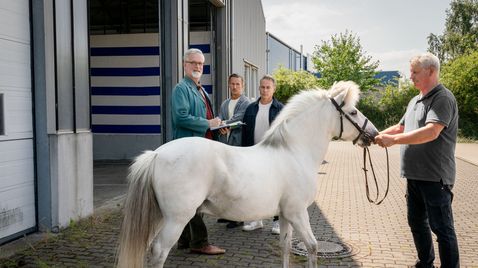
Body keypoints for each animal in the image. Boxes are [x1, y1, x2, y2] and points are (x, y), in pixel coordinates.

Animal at [116, 80, 378, 266]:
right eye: (353, 112)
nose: (374, 134)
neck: (294, 151)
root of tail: (156, 155)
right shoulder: (298, 212)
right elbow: (312, 248)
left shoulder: (286, 215)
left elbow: (285, 247)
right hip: (176, 219)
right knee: (159, 252)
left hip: (162, 216)